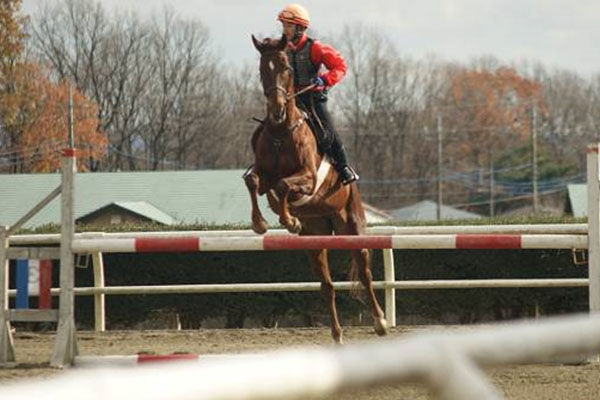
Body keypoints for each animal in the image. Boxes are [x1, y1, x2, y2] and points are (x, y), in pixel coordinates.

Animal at [244, 34, 388, 344]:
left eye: (286, 68)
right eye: (262, 69)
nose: (276, 110)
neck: (280, 131)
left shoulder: (308, 178)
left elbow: (284, 185)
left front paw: (289, 220)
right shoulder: (262, 174)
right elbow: (255, 182)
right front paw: (262, 223)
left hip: (352, 227)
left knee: (365, 273)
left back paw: (381, 322)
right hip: (316, 239)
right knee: (327, 285)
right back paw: (336, 333)